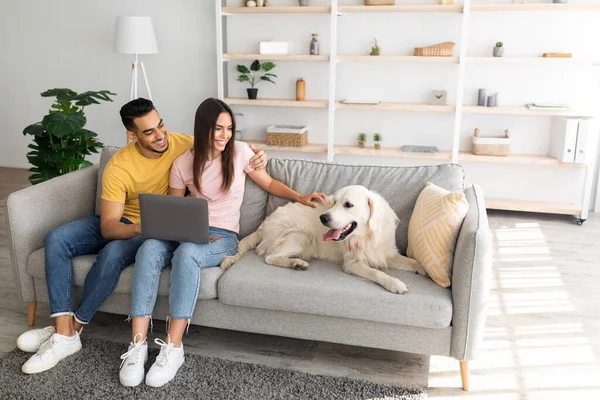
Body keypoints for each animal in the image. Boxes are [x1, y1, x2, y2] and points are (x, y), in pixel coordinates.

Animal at [220, 184, 426, 294]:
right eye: (333, 202)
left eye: (348, 205)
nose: (323, 218)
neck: (365, 236)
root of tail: (263, 223)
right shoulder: (351, 263)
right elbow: (376, 272)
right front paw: (394, 283)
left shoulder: (386, 253)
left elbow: (412, 261)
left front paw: (424, 269)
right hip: (302, 236)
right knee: (270, 257)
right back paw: (296, 263)